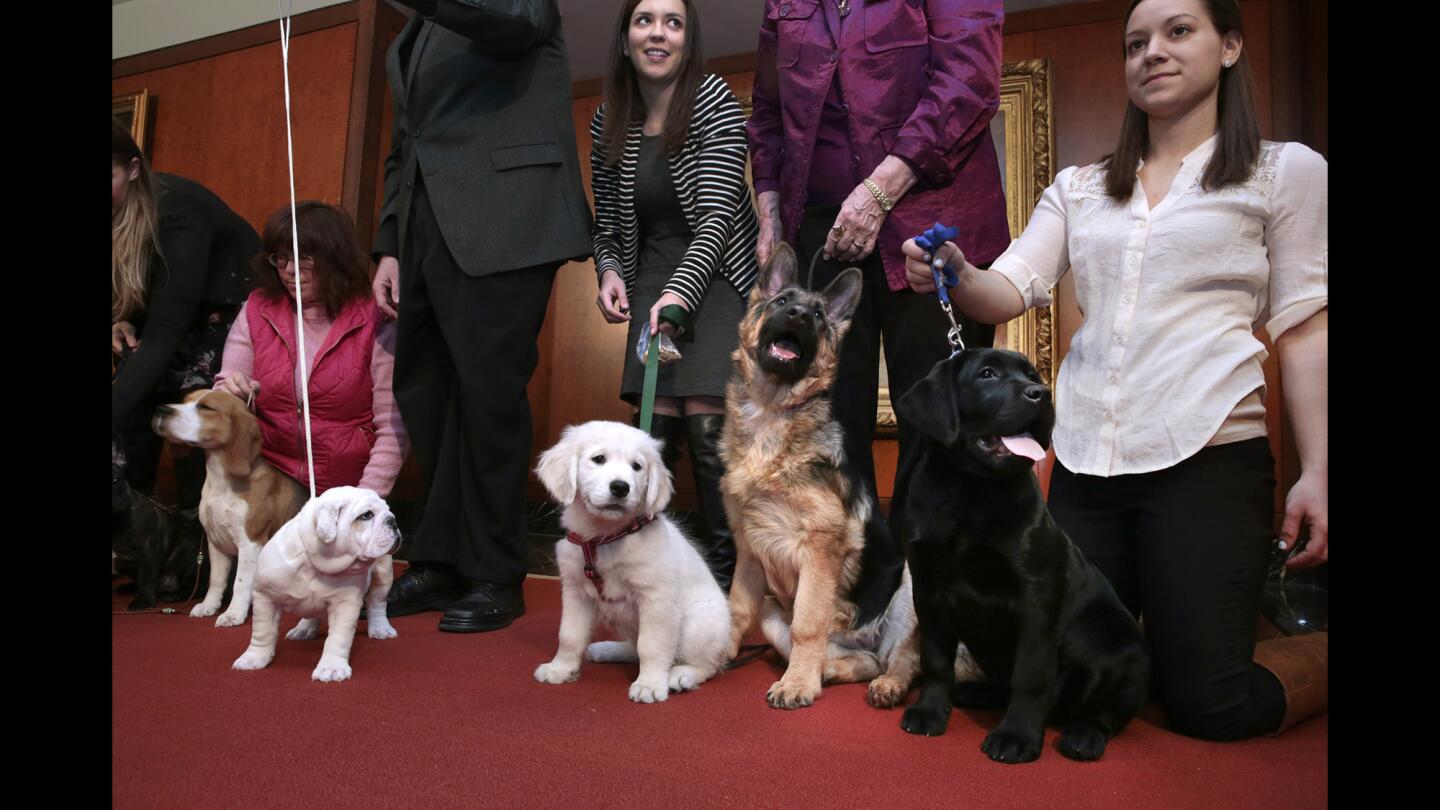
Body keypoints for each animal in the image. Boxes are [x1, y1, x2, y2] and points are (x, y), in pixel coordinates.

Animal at [111, 435, 208, 605]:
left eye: (116, 480)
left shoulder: (148, 550)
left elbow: (146, 578)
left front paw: (142, 602)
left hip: (188, 558)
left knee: (196, 587)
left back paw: (176, 595)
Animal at [231, 481, 403, 677]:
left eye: (388, 511)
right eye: (366, 515)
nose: (393, 520)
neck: (316, 563)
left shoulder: (345, 603)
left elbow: (338, 638)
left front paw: (332, 667)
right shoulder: (266, 597)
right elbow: (263, 631)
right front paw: (254, 657)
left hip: (383, 574)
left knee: (377, 602)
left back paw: (380, 628)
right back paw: (303, 628)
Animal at [725, 240, 915, 706]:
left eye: (817, 316)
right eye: (781, 302)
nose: (797, 316)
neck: (773, 413)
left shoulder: (819, 551)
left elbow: (808, 623)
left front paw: (796, 684)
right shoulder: (749, 549)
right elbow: (736, 608)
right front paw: (709, 656)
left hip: (909, 586)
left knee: (902, 658)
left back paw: (884, 684)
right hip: (773, 609)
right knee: (865, 661)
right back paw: (828, 670)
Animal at [892, 350, 1152, 760]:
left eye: (1033, 376)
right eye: (987, 374)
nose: (1041, 395)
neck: (970, 491)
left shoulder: (1037, 597)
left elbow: (1030, 676)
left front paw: (1017, 736)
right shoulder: (927, 589)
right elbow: (935, 659)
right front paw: (931, 710)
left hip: (1113, 645)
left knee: (1102, 710)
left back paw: (1083, 735)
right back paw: (972, 692)